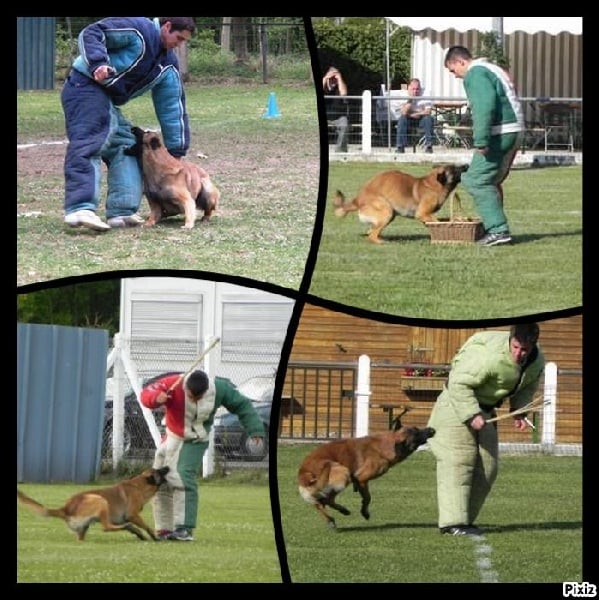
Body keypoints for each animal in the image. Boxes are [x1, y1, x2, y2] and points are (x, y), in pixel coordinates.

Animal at [16, 464, 170, 544]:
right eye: (159, 470)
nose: (168, 466)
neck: (139, 485)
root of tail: (66, 508)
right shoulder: (132, 515)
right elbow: (147, 526)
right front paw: (155, 537)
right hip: (100, 500)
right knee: (107, 527)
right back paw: (130, 528)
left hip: (85, 526)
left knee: (83, 537)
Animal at [298, 408, 436, 528]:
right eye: (417, 433)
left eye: (417, 428)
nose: (432, 429)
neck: (387, 445)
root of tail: (304, 473)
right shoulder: (361, 478)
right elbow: (368, 498)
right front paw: (364, 512)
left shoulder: (362, 481)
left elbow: (366, 496)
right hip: (343, 473)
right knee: (325, 500)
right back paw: (338, 513)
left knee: (319, 503)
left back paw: (333, 517)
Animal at [332, 163, 468, 243]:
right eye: (454, 168)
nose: (466, 165)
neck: (434, 185)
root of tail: (357, 199)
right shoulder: (422, 213)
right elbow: (436, 221)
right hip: (386, 210)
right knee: (372, 236)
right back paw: (382, 242)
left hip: (389, 215)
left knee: (371, 231)